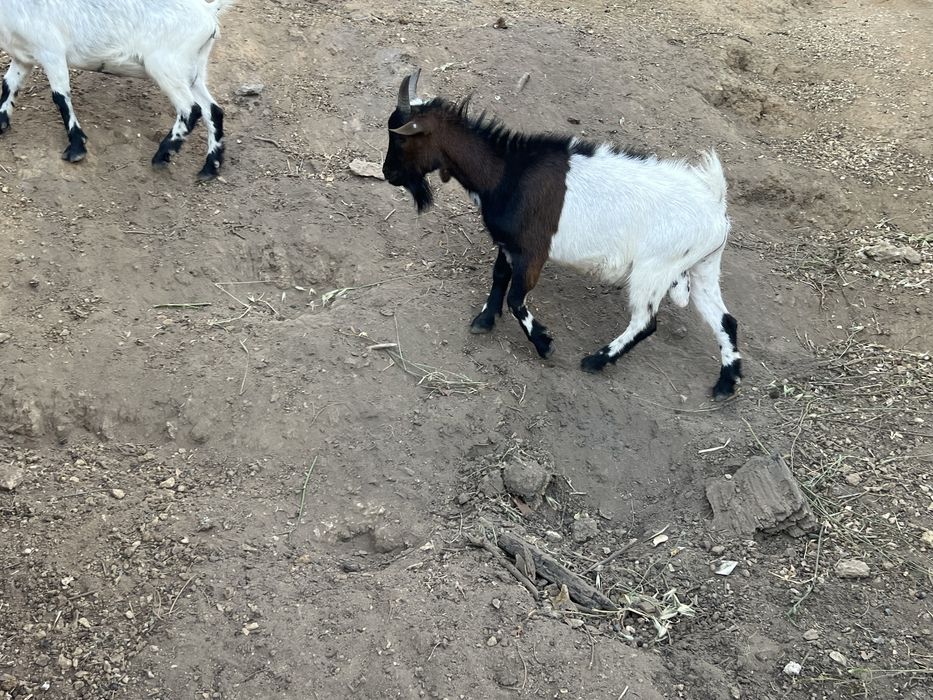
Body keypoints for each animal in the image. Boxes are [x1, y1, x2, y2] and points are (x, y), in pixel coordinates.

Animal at [0, 0, 232, 179]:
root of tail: (208, 12)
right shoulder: (23, 58)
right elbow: (8, 85)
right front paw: (1, 124)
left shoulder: (51, 52)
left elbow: (60, 97)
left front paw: (76, 148)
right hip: (193, 70)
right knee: (213, 110)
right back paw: (210, 167)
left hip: (165, 64)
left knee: (191, 109)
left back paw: (163, 154)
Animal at [382, 69, 742, 399]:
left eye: (400, 138)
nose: (388, 173)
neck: (507, 173)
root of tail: (715, 205)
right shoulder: (509, 244)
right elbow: (499, 277)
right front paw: (484, 320)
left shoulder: (533, 252)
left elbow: (516, 298)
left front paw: (544, 343)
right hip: (702, 266)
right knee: (725, 320)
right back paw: (726, 383)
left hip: (654, 269)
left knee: (645, 322)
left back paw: (595, 361)